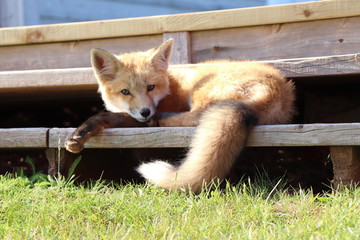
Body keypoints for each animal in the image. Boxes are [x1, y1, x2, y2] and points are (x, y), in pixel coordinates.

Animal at [66, 39, 296, 193]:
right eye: (125, 92)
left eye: (150, 87)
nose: (145, 112)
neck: (169, 84)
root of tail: (278, 89)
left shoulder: (137, 119)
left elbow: (105, 116)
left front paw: (81, 133)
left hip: (201, 89)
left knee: (198, 115)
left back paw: (162, 119)